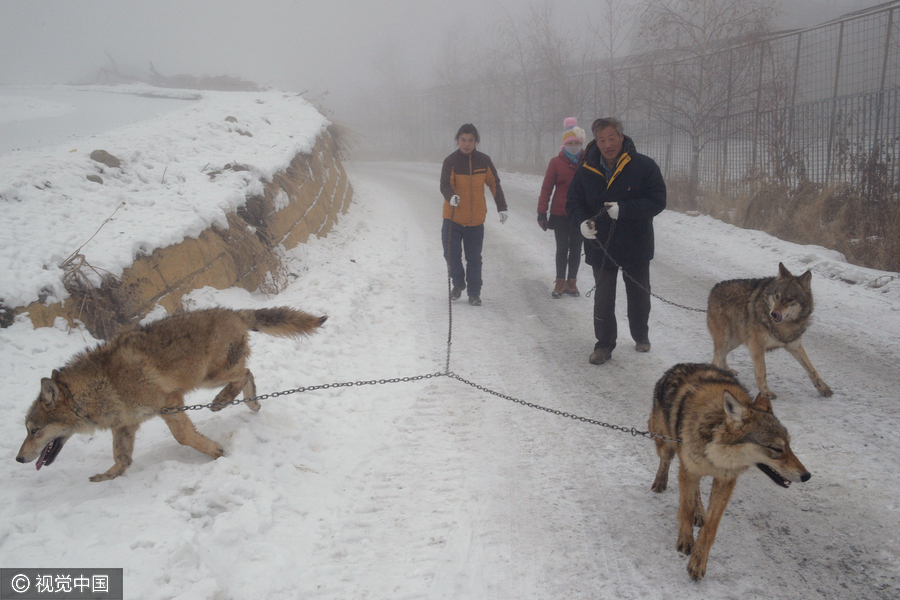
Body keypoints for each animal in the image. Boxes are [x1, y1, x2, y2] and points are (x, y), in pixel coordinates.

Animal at [15, 310, 326, 482]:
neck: (102, 386)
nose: (18, 459)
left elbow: (183, 436)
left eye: (34, 430)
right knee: (248, 375)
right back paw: (250, 403)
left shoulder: (170, 404)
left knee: (245, 373)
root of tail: (234, 311)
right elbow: (121, 457)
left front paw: (215, 452)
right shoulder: (125, 425)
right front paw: (109, 476)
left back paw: (223, 401)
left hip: (208, 377)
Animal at [648, 364, 808, 580]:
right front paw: (686, 541)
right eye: (776, 448)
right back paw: (661, 482)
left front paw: (698, 563)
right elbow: (685, 509)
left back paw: (700, 513)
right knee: (666, 461)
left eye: (789, 445)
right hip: (666, 444)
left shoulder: (726, 480)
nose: (807, 476)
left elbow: (711, 527)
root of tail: (677, 366)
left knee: (697, 491)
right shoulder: (689, 469)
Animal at [708, 262, 832, 398]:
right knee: (715, 359)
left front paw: (823, 388)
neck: (785, 326)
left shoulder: (794, 346)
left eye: (790, 299)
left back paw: (727, 371)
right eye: (777, 296)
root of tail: (715, 287)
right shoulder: (756, 345)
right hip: (726, 340)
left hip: (735, 341)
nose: (773, 314)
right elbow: (761, 371)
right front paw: (765, 392)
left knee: (721, 357)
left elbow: (812, 369)